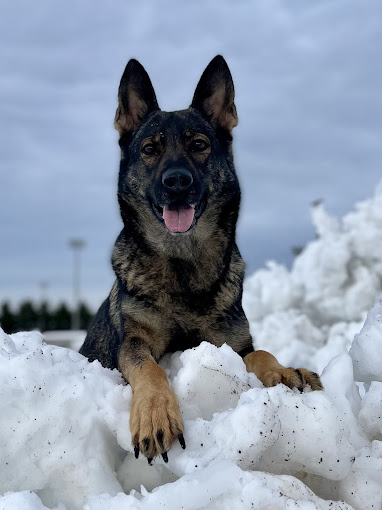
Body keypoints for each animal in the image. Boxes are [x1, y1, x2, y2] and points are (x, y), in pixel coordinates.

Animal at [80, 55, 322, 462]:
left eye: (199, 144)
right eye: (150, 149)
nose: (177, 181)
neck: (183, 269)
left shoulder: (234, 345)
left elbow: (261, 352)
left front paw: (287, 371)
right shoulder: (134, 342)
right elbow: (149, 369)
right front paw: (155, 414)